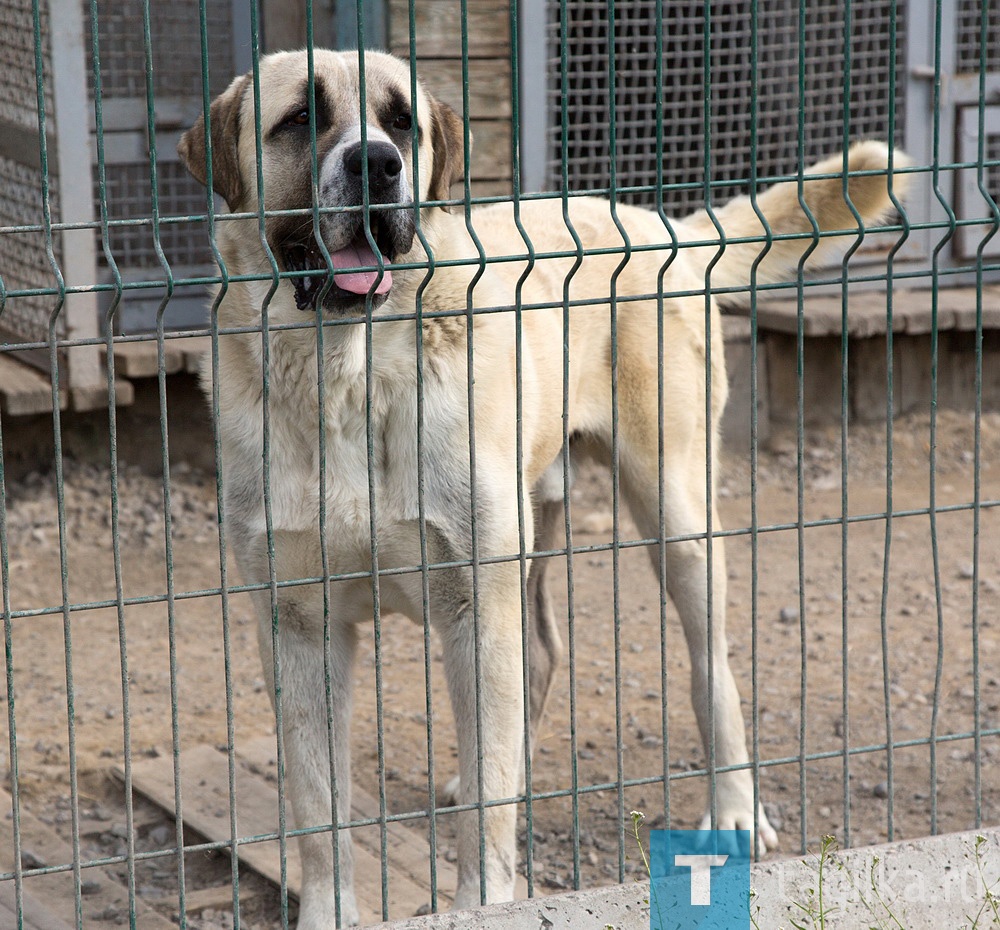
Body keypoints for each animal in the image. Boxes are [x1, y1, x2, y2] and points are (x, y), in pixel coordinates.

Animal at [176, 49, 912, 920]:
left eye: (401, 124)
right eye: (300, 119)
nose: (377, 166)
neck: (347, 373)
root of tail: (661, 224)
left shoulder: (474, 597)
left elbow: (491, 804)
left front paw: (486, 900)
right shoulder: (297, 626)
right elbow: (322, 813)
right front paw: (331, 914)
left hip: (674, 517)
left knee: (711, 669)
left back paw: (733, 809)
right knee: (537, 662)